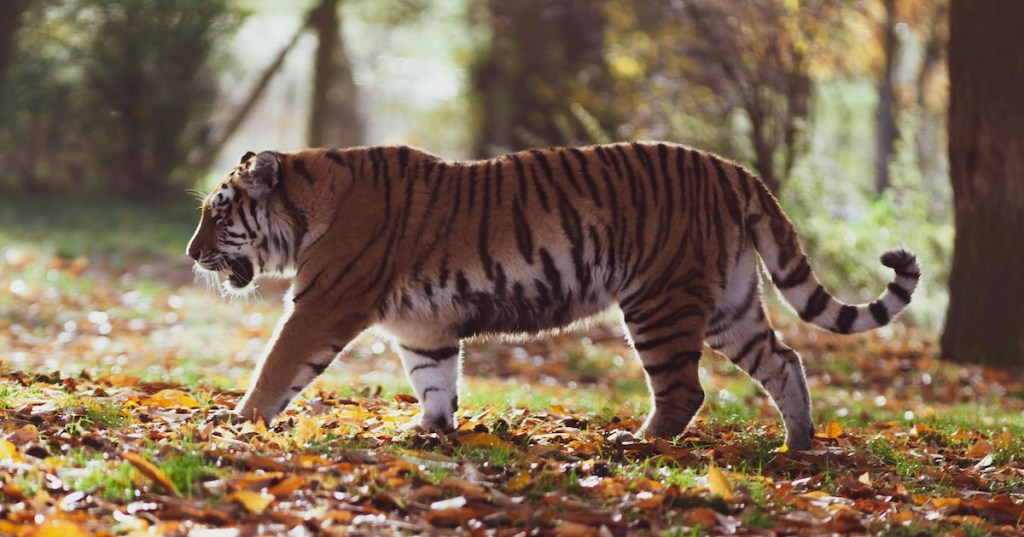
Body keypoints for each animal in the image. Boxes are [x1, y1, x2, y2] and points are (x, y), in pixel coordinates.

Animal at [186, 142, 920, 450]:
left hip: (659, 300)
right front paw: (429, 430)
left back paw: (638, 444)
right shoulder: (423, 328)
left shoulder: (323, 304)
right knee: (785, 361)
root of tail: (734, 169)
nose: (192, 255)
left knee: (685, 390)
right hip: (729, 305)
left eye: (218, 215)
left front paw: (238, 421)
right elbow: (435, 380)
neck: (310, 202)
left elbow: (276, 366)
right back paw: (798, 445)